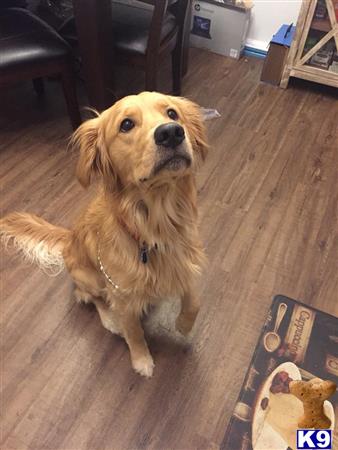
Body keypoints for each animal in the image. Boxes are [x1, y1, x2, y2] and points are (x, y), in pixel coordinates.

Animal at [0, 91, 209, 376]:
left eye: (172, 113)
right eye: (126, 124)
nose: (171, 133)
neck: (155, 223)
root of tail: (68, 237)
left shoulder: (184, 263)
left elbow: (194, 301)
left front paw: (184, 325)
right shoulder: (121, 294)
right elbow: (134, 331)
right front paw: (141, 361)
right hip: (90, 278)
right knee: (88, 296)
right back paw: (110, 319)